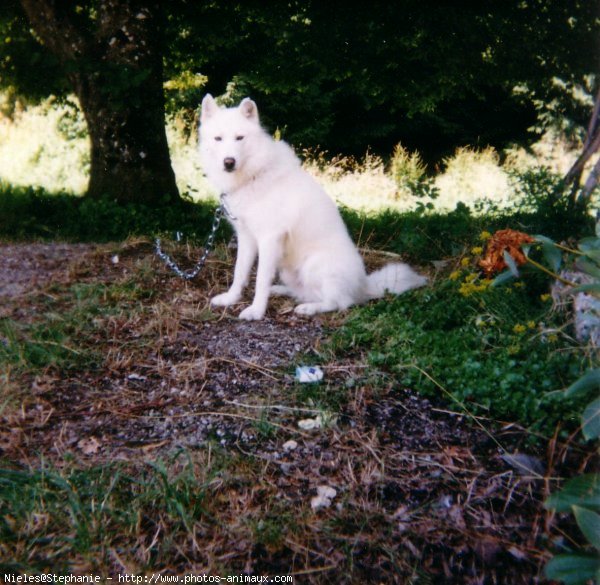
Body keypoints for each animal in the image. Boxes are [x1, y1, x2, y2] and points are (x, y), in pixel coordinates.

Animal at [198, 96, 426, 322]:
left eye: (239, 138)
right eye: (218, 138)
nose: (229, 162)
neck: (254, 175)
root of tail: (364, 286)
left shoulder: (269, 239)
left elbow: (261, 279)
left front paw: (256, 311)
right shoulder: (246, 237)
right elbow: (240, 273)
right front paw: (230, 299)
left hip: (314, 265)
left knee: (338, 303)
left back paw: (308, 308)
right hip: (288, 270)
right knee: (307, 292)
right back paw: (281, 291)